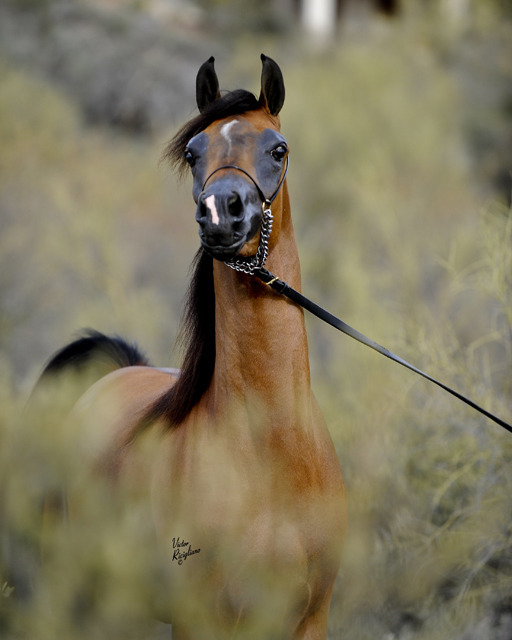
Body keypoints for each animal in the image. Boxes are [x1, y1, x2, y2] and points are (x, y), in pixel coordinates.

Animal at [39, 56, 344, 640]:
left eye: (278, 148)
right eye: (192, 152)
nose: (221, 212)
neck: (272, 454)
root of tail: (112, 375)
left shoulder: (310, 620)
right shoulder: (203, 622)